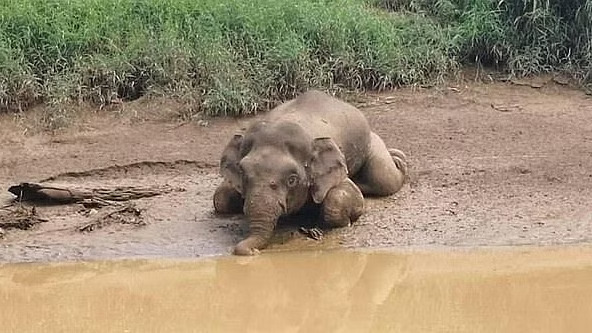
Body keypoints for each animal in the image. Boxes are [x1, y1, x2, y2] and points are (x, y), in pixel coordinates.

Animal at [213, 89, 408, 255]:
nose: (253, 252)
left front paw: (346, 222)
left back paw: (399, 160)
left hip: (370, 143)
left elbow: (342, 196)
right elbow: (220, 198)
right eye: (242, 173)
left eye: (292, 179)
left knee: (384, 178)